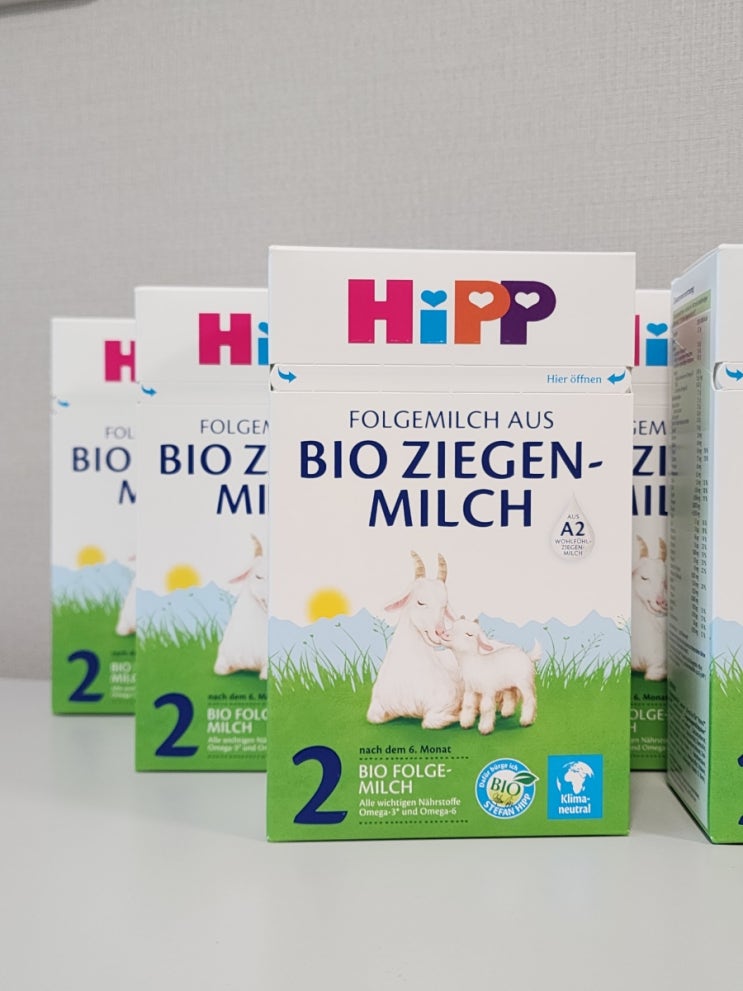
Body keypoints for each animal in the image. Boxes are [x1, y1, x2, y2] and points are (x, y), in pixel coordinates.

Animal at [367, 551, 462, 729]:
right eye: (420, 602)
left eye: (444, 605)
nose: (440, 632)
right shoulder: (376, 706)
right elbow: (373, 717)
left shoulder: (444, 704)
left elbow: (430, 722)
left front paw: (457, 715)